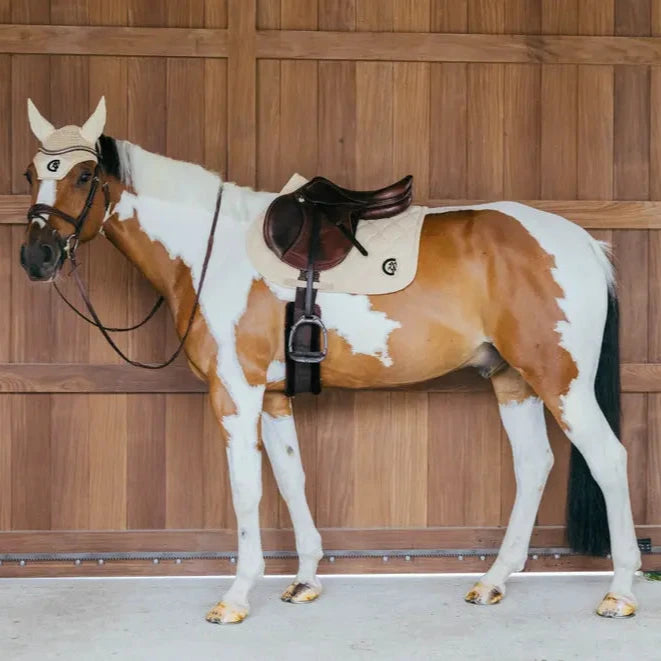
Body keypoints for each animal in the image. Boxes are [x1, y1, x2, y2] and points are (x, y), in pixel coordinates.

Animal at [19, 96, 640, 620]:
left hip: (560, 381)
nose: (36, 256)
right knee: (534, 465)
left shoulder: (236, 392)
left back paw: (620, 591)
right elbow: (292, 478)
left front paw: (236, 596)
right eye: (31, 174)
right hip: (513, 380)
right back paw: (493, 581)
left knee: (608, 460)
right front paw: (305, 580)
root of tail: (584, 243)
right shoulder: (272, 398)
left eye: (82, 175)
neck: (212, 249)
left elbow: (247, 488)